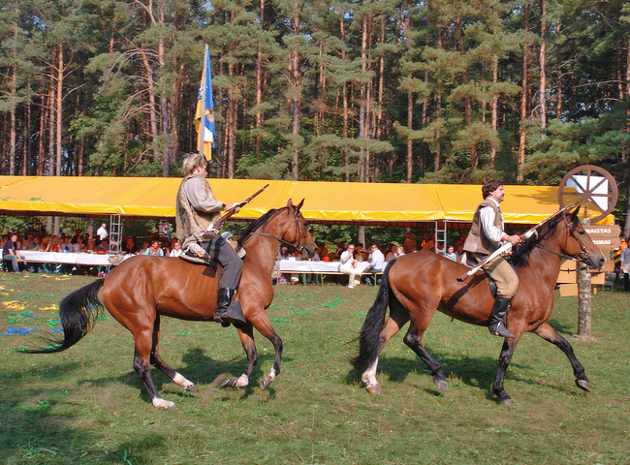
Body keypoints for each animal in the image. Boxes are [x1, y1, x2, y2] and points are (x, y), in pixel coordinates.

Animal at [30, 198, 318, 408]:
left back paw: (186, 383)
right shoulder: (256, 314)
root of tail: (109, 277)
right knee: (142, 363)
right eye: (303, 223)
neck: (253, 262)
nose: (314, 249)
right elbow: (277, 343)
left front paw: (237, 382)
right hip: (142, 324)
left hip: (153, 320)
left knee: (155, 357)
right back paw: (160, 401)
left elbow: (252, 354)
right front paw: (268, 378)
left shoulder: (242, 320)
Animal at [356, 208, 608, 404]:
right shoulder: (516, 326)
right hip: (422, 309)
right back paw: (439, 376)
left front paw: (582, 379)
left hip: (402, 310)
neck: (536, 273)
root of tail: (398, 260)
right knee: (412, 339)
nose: (601, 259)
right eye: (582, 232)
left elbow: (565, 345)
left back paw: (371, 381)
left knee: (381, 338)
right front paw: (501, 392)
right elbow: (505, 357)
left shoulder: (538, 326)